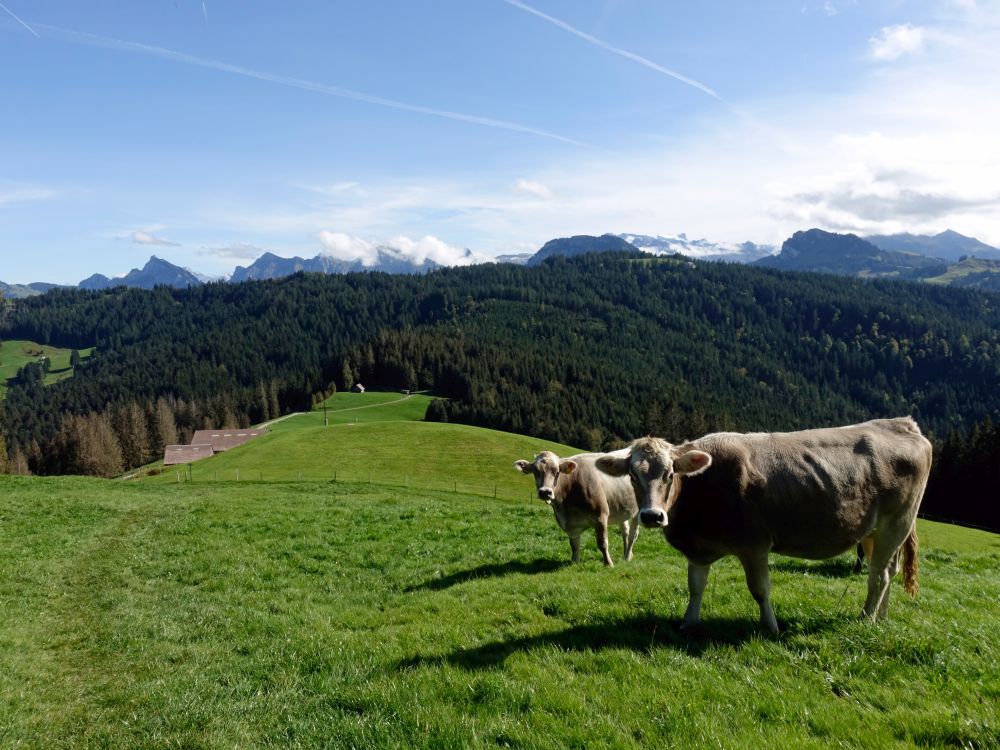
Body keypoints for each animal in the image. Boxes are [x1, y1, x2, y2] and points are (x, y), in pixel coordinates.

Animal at [592, 418, 928, 636]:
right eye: (632, 475)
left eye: (670, 474)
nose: (651, 516)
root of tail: (902, 423)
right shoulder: (698, 548)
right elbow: (696, 585)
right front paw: (689, 622)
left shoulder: (754, 544)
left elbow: (760, 589)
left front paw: (771, 627)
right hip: (874, 532)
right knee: (889, 572)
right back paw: (881, 618)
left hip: (896, 523)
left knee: (879, 576)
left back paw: (864, 619)